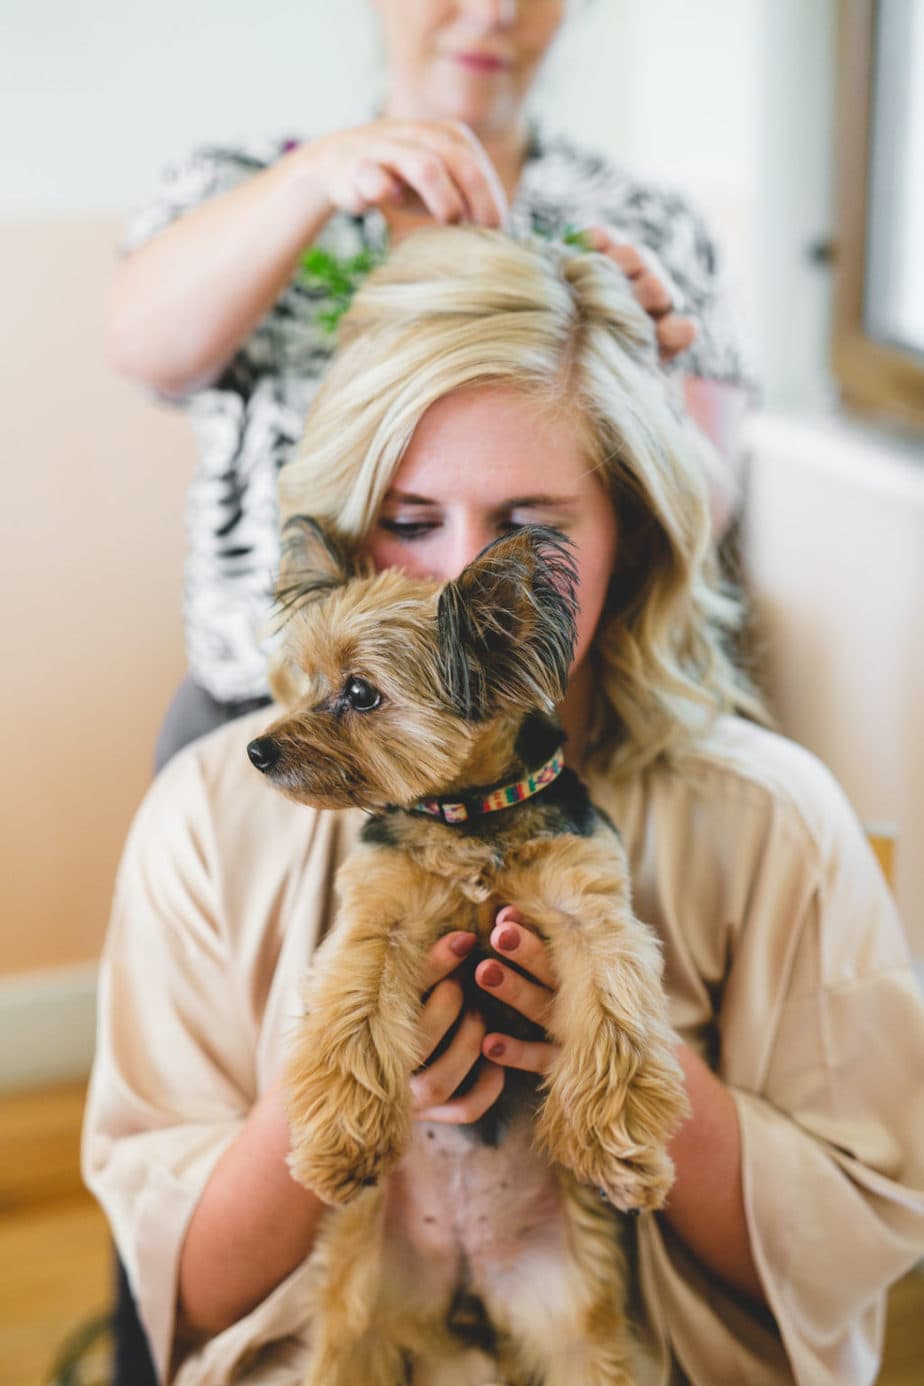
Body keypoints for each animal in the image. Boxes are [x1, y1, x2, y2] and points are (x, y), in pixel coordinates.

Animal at [245, 518, 687, 1386]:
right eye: (310, 679)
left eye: (360, 693)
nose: (259, 750)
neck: (469, 815)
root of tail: (467, 1281)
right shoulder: (378, 919)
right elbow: (350, 1026)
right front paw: (342, 1143)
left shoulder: (590, 910)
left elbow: (618, 1025)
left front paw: (616, 1146)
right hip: (358, 1308)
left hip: (572, 1311)